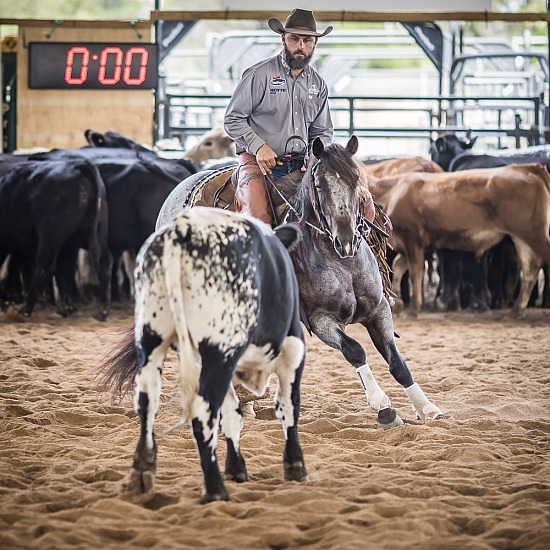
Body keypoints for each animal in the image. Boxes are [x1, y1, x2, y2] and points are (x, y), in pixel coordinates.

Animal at [0, 160, 112, 322]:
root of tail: (78, 165)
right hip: (87, 235)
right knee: (97, 263)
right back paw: (95, 311)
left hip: (50, 237)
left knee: (44, 269)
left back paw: (25, 311)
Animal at [101, 207, 308, 504]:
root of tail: (181, 232)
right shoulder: (293, 348)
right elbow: (288, 404)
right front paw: (294, 465)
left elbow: (233, 412)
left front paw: (236, 467)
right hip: (219, 349)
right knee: (203, 410)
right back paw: (215, 488)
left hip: (154, 339)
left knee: (147, 401)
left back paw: (142, 472)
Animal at [157, 136, 446, 430]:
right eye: (319, 185)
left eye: (357, 180)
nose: (346, 240)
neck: (341, 262)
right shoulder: (320, 319)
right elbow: (355, 350)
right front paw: (383, 407)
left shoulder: (378, 310)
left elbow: (397, 361)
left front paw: (427, 407)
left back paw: (246, 403)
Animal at [384, 164, 550, 320]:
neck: (394, 191)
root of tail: (527, 168)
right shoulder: (411, 246)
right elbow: (397, 266)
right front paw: (397, 304)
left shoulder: (412, 239)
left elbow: (415, 272)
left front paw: (412, 309)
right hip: (521, 238)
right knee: (530, 269)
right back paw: (516, 311)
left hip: (533, 234)